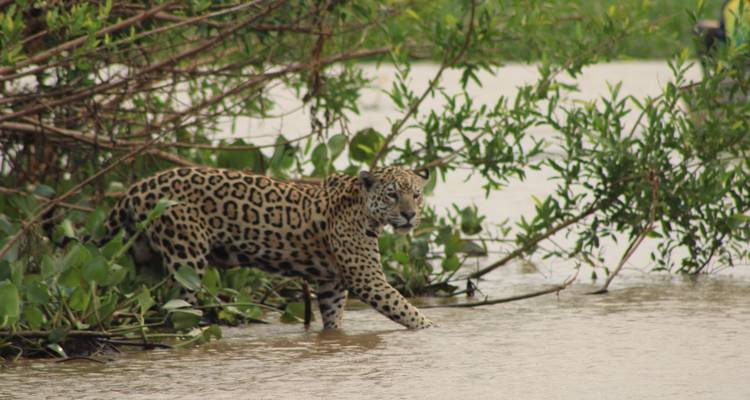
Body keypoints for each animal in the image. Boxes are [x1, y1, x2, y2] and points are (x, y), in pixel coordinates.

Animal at [103, 165, 434, 329]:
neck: (363, 208)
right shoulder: (366, 279)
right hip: (187, 259)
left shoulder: (331, 284)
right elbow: (406, 310)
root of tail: (137, 187)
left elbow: (334, 319)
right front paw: (431, 331)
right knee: (177, 308)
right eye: (392, 195)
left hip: (143, 257)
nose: (409, 214)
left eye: (416, 195)